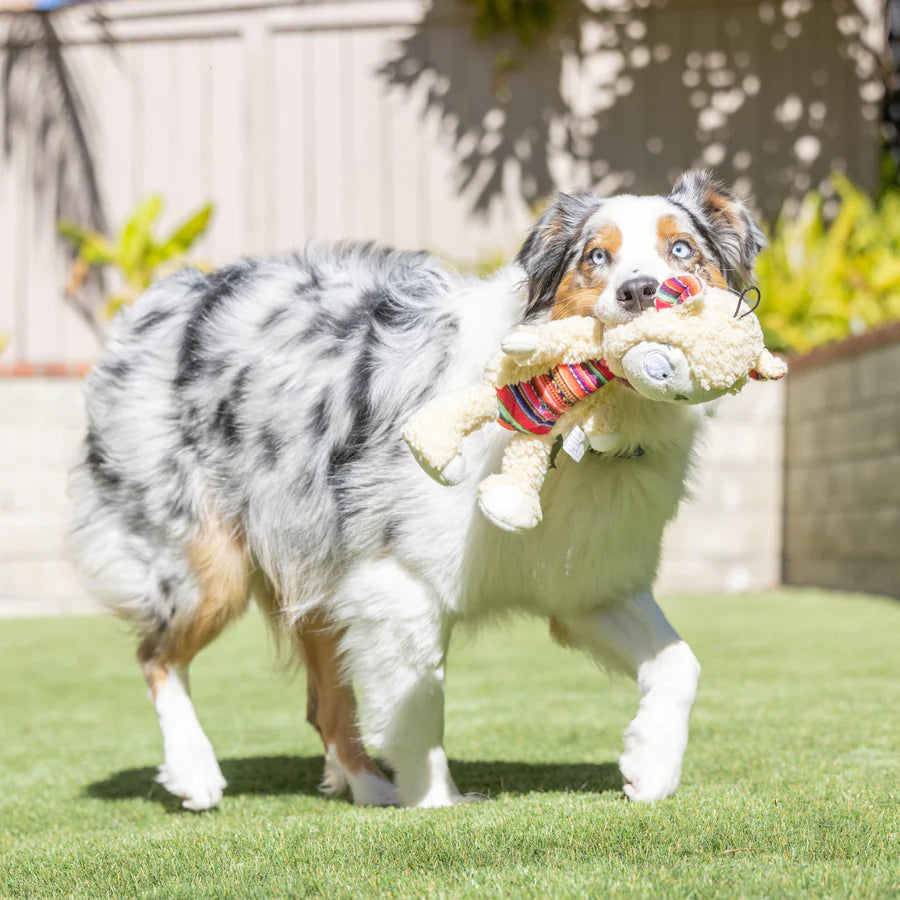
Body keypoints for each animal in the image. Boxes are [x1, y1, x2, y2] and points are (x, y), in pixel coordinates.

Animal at [72, 169, 768, 808]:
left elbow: (679, 664)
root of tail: (163, 295)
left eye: (682, 249)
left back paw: (368, 788)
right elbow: (420, 703)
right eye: (597, 257)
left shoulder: (589, 584)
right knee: (157, 656)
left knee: (324, 704)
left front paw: (651, 765)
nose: (641, 289)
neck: (590, 429)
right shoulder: (395, 580)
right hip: (208, 563)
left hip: (314, 552)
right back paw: (195, 771)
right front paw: (436, 804)